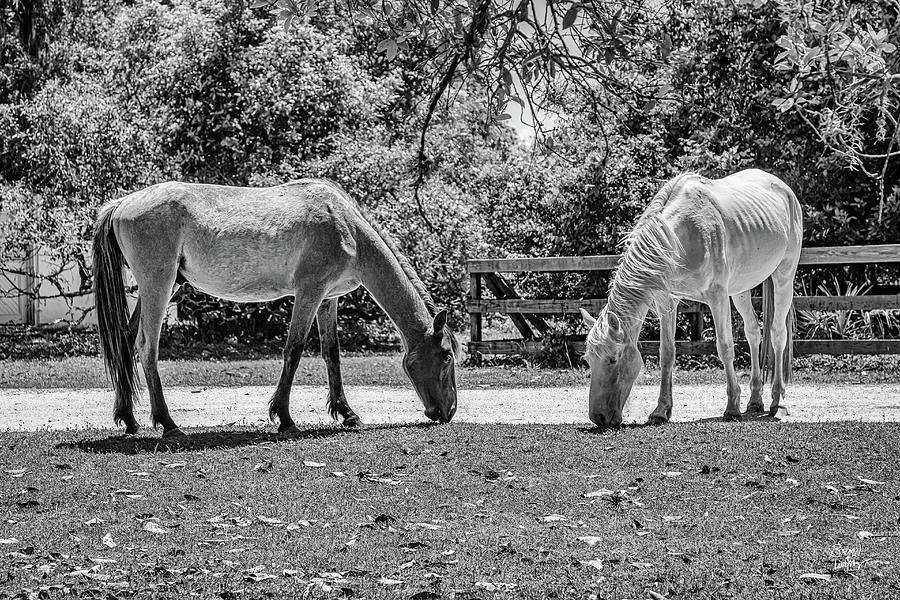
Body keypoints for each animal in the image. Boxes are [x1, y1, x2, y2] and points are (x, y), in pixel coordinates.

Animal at [93, 177, 458, 436]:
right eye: (446, 355)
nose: (449, 411)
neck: (347, 227)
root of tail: (122, 203)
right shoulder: (310, 292)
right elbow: (294, 349)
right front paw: (284, 417)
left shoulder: (328, 299)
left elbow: (331, 352)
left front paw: (347, 413)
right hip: (158, 286)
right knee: (146, 348)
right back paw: (167, 424)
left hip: (157, 290)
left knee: (125, 341)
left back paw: (128, 419)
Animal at [580, 170, 804, 426]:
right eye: (588, 360)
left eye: (613, 360)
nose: (598, 417)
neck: (679, 236)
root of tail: (784, 188)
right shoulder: (667, 300)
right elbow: (667, 353)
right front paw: (661, 410)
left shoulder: (717, 297)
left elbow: (725, 347)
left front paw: (732, 407)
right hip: (740, 290)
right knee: (753, 332)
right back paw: (755, 401)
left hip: (784, 276)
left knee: (777, 334)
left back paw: (779, 403)